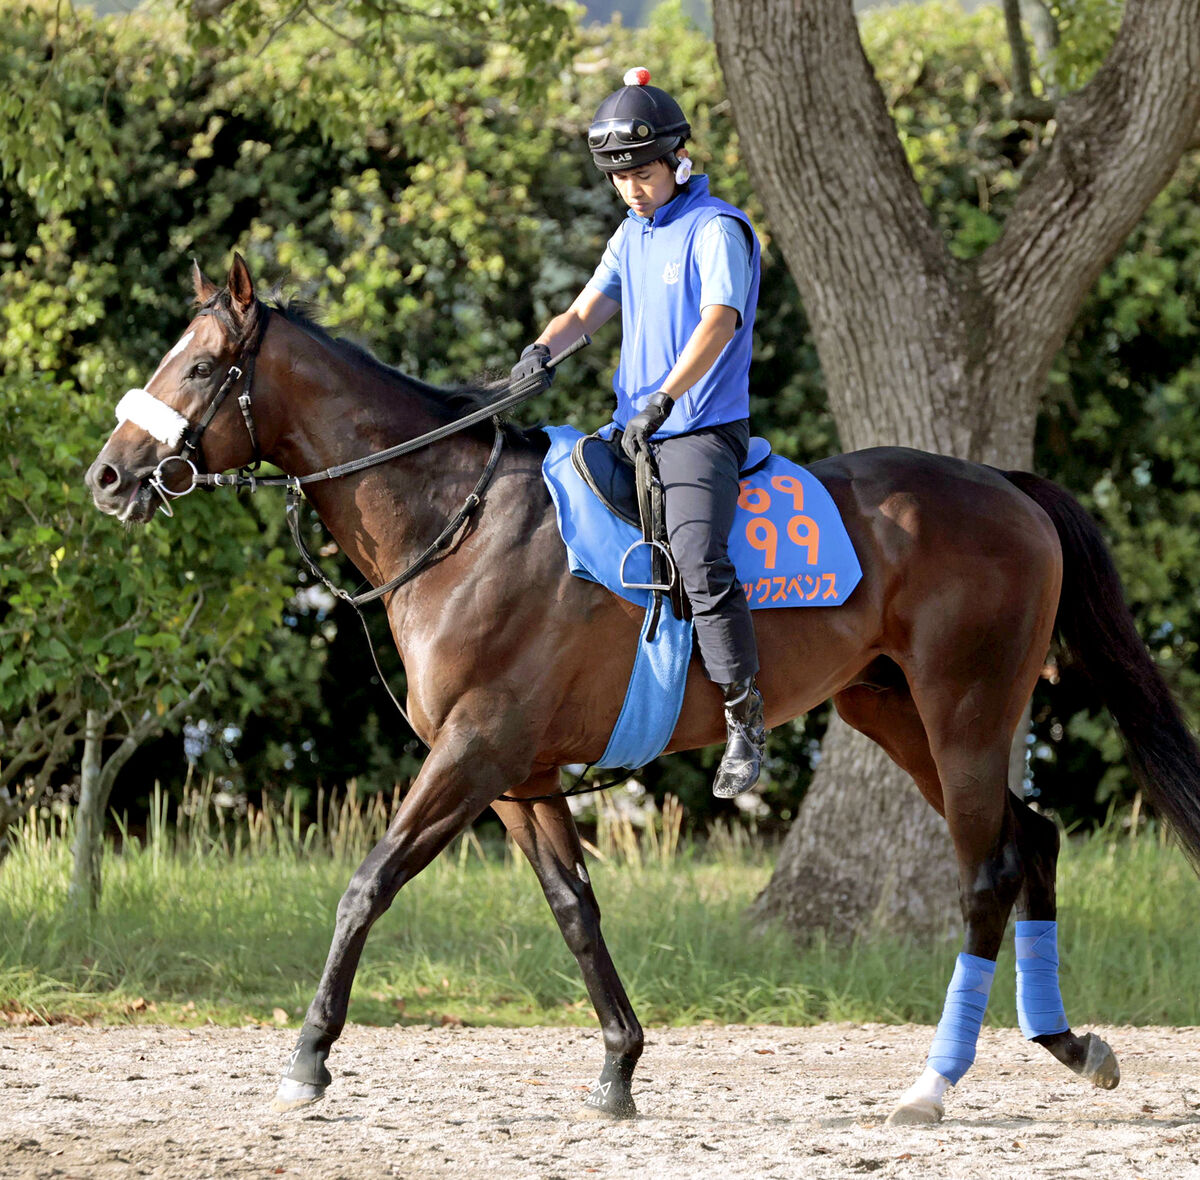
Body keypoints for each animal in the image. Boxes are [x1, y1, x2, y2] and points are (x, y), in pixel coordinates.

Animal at [87, 255, 1200, 1123]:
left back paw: (935, 1083)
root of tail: (1009, 486)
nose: (107, 476)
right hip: (894, 714)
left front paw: (309, 1057)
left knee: (987, 870)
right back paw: (1069, 1045)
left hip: (964, 714)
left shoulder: (472, 752)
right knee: (1033, 840)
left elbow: (369, 882)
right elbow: (575, 909)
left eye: (198, 365)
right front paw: (620, 1065)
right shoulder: (518, 776)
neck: (457, 521)